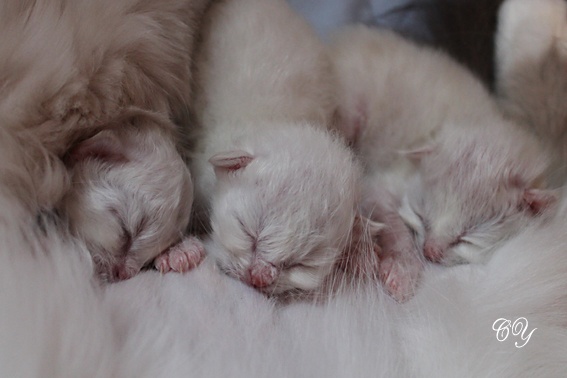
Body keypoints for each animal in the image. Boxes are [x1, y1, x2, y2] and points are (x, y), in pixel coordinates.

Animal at [330, 24, 556, 302]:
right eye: (422, 215)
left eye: (466, 238)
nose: (430, 252)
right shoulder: (383, 181)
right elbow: (394, 224)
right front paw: (402, 270)